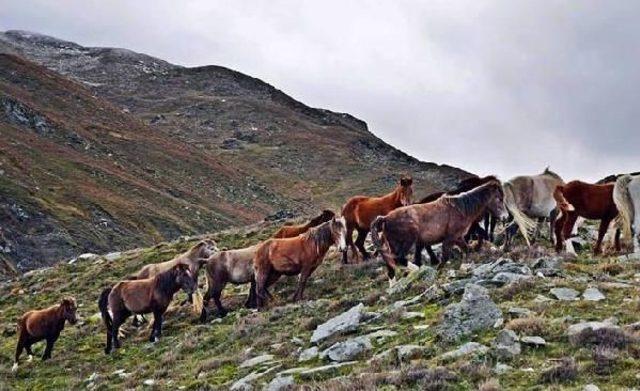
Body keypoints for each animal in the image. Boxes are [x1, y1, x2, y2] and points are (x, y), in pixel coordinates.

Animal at [370, 181, 510, 282]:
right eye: (499, 199)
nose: (505, 217)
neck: (460, 209)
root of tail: (385, 218)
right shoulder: (450, 238)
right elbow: (445, 257)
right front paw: (438, 271)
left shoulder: (458, 238)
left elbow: (466, 250)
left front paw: (466, 266)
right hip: (407, 241)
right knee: (399, 259)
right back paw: (417, 270)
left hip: (393, 245)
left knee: (391, 265)